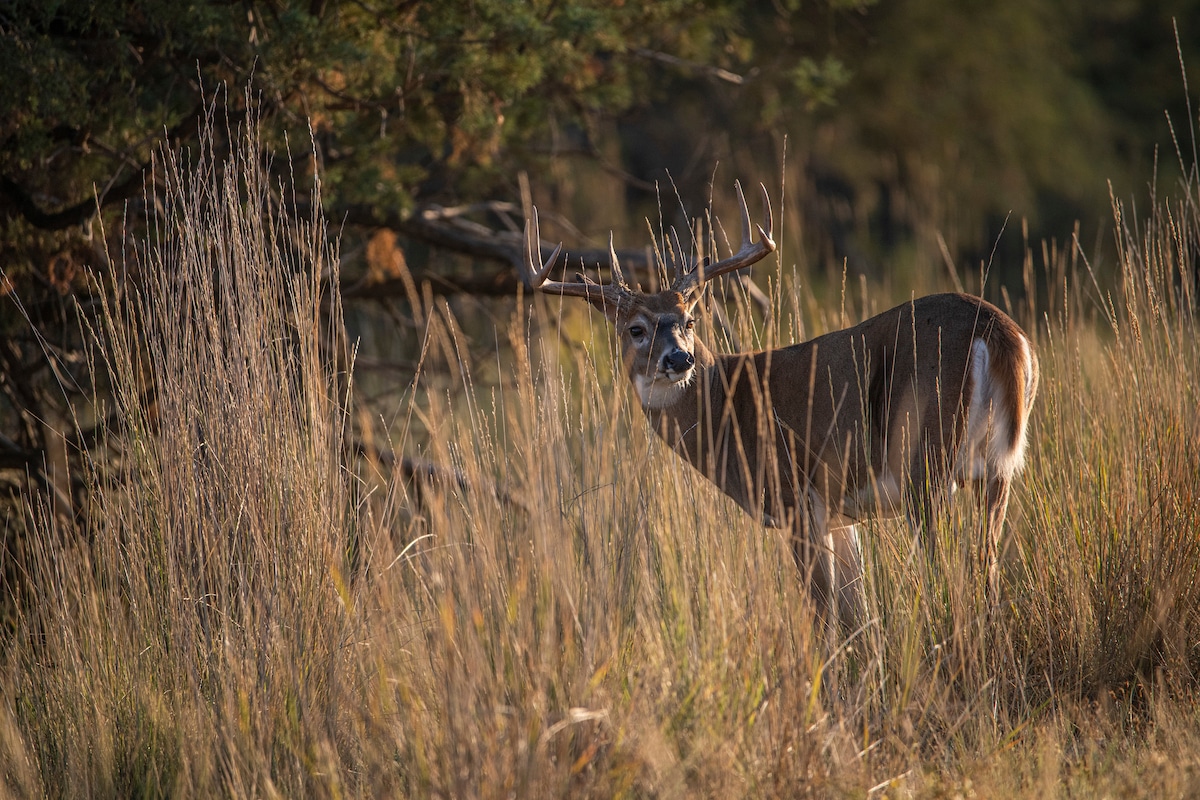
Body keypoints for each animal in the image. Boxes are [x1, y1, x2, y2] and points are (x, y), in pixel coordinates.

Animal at [521, 182, 1039, 631]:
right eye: (636, 329)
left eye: (689, 320)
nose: (680, 359)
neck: (726, 407)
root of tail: (999, 330)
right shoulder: (838, 514)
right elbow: (858, 614)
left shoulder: (793, 499)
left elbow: (825, 616)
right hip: (998, 470)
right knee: (987, 568)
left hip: (923, 463)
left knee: (952, 570)